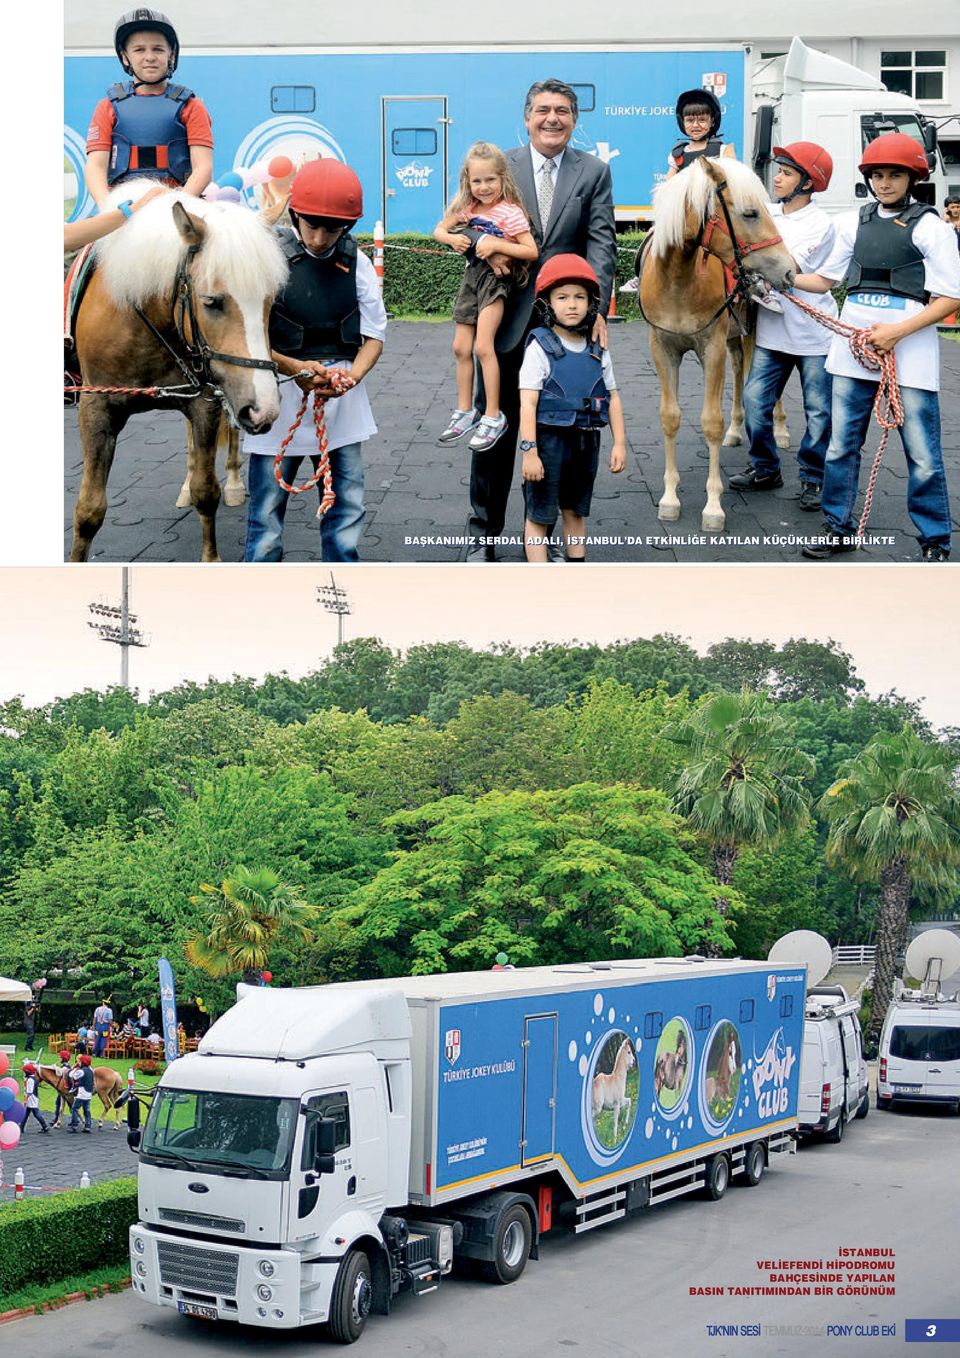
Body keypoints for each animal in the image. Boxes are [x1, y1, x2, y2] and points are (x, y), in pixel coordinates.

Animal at [71, 183, 285, 559]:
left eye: (270, 301)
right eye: (212, 302)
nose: (264, 409)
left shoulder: (205, 401)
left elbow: (207, 491)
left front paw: (211, 557)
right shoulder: (95, 407)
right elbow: (89, 511)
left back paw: (233, 482)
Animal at [640, 157, 798, 529]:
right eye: (750, 213)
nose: (790, 269)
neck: (679, 280)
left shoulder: (711, 348)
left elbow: (711, 422)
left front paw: (713, 506)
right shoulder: (663, 349)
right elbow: (670, 417)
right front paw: (670, 499)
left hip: (752, 331)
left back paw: (779, 429)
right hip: (735, 338)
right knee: (740, 372)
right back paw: (738, 429)